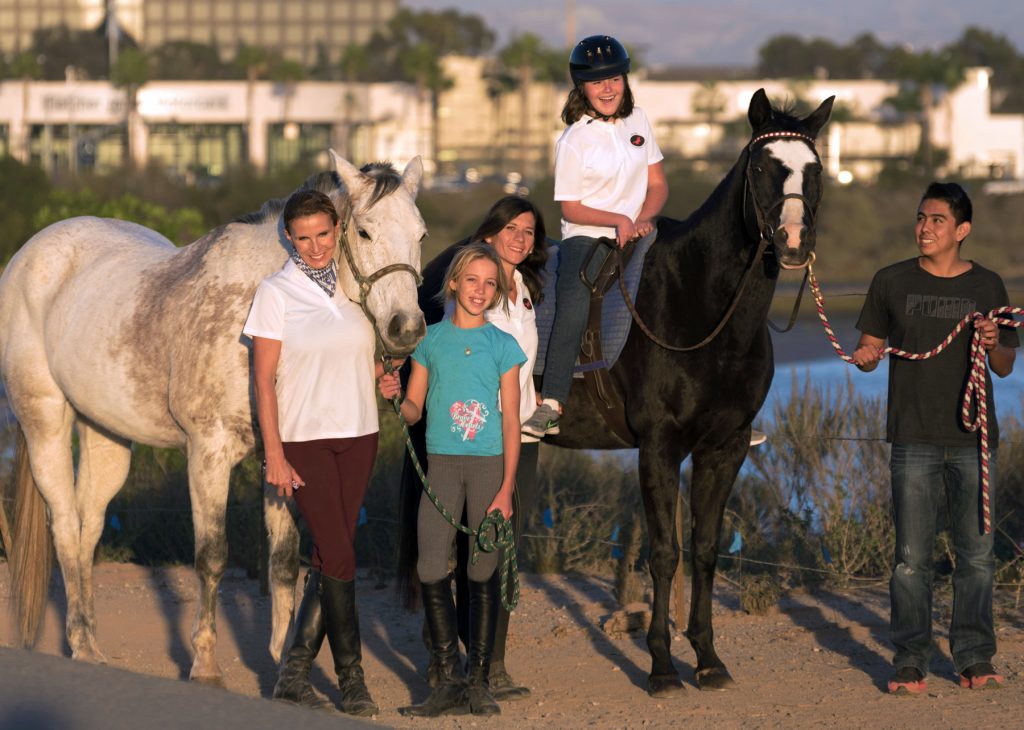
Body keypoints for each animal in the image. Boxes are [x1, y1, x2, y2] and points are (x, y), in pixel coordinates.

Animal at [0, 150, 423, 688]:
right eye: (365, 232)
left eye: (420, 234)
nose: (406, 329)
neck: (259, 307)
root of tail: (29, 254)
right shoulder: (209, 452)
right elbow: (212, 555)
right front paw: (204, 665)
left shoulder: (280, 459)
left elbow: (283, 561)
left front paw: (282, 664)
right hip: (46, 424)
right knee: (63, 527)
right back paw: (82, 646)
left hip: (106, 437)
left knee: (86, 527)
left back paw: (90, 642)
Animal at [397, 89, 831, 696]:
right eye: (764, 168)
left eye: (815, 171)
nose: (793, 243)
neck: (699, 309)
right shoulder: (659, 447)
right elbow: (665, 553)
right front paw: (662, 666)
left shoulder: (726, 448)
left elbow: (704, 550)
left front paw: (708, 659)